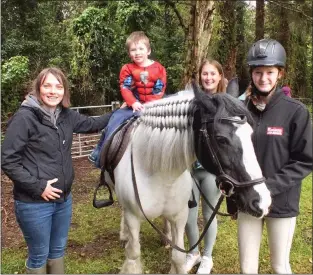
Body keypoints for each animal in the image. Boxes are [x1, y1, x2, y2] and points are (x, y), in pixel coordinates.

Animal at [108, 85, 270, 274]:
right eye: (221, 139)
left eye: (250, 134)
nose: (262, 201)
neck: (154, 171)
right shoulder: (133, 217)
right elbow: (133, 255)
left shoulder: (179, 216)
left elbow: (177, 256)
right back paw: (124, 234)